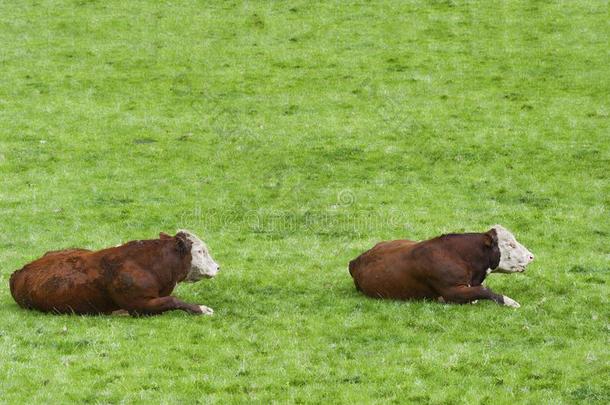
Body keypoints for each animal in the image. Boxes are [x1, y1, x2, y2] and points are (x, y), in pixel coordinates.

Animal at [9, 229, 220, 314]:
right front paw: (202, 309)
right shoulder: (139, 305)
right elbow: (172, 300)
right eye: (200, 251)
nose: (218, 267)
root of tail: (20, 270)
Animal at [346, 224, 532, 306]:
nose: (531, 256)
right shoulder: (451, 292)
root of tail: (355, 261)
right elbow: (483, 290)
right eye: (510, 244)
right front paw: (510, 301)